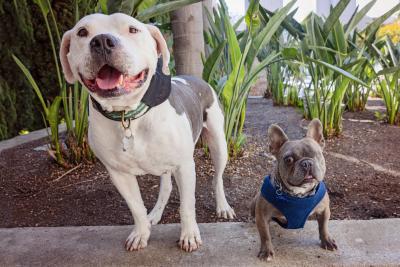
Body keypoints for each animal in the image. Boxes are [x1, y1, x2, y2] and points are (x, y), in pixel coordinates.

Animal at [59, 13, 234, 253]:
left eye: (133, 30)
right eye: (82, 32)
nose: (102, 41)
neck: (128, 115)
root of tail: (196, 77)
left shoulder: (185, 166)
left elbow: (187, 206)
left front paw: (189, 236)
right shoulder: (118, 174)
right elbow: (136, 207)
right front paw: (141, 233)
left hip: (218, 145)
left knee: (217, 179)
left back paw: (223, 206)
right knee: (166, 186)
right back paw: (155, 213)